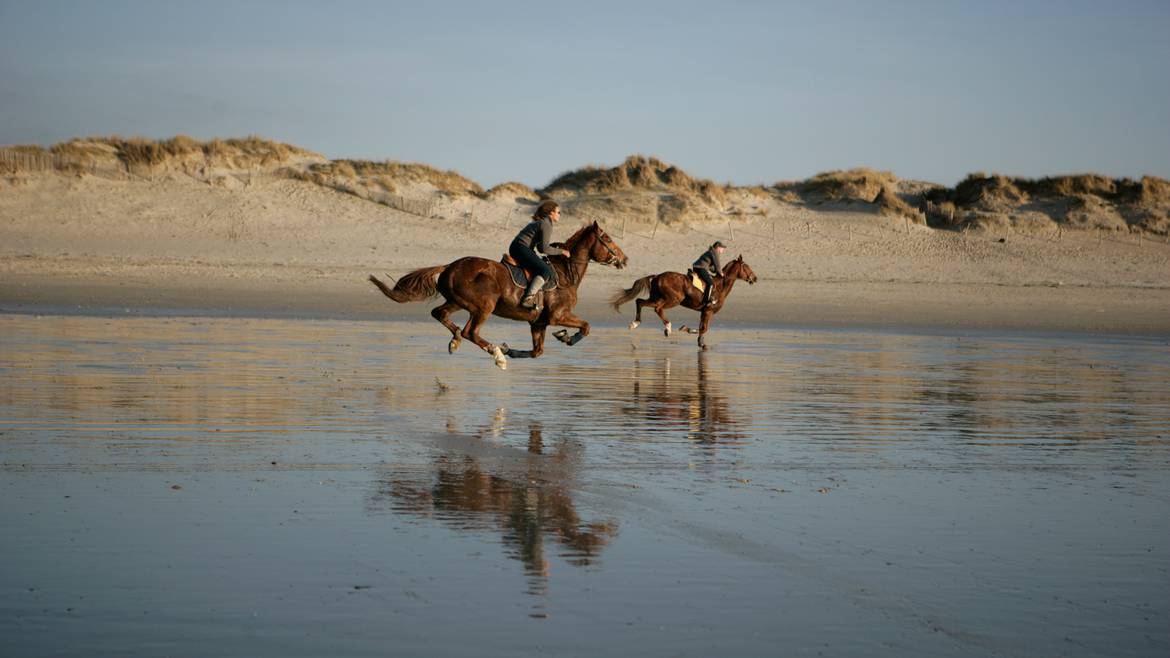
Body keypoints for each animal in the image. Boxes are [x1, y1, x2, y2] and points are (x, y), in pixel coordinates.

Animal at [367, 221, 627, 369]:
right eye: (608, 239)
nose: (625, 259)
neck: (566, 273)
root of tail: (449, 266)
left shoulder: (538, 323)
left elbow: (537, 352)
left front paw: (513, 349)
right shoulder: (557, 316)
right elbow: (586, 327)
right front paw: (566, 337)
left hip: (458, 302)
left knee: (440, 314)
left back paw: (455, 341)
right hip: (484, 306)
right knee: (471, 332)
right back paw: (497, 355)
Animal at [608, 255, 762, 348]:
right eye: (746, 266)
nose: (755, 278)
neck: (720, 286)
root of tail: (657, 276)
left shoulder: (704, 312)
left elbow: (702, 328)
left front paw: (695, 338)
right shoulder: (709, 311)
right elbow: (704, 328)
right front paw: (691, 334)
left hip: (657, 297)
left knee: (639, 301)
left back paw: (635, 324)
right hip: (673, 299)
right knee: (657, 308)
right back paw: (667, 328)